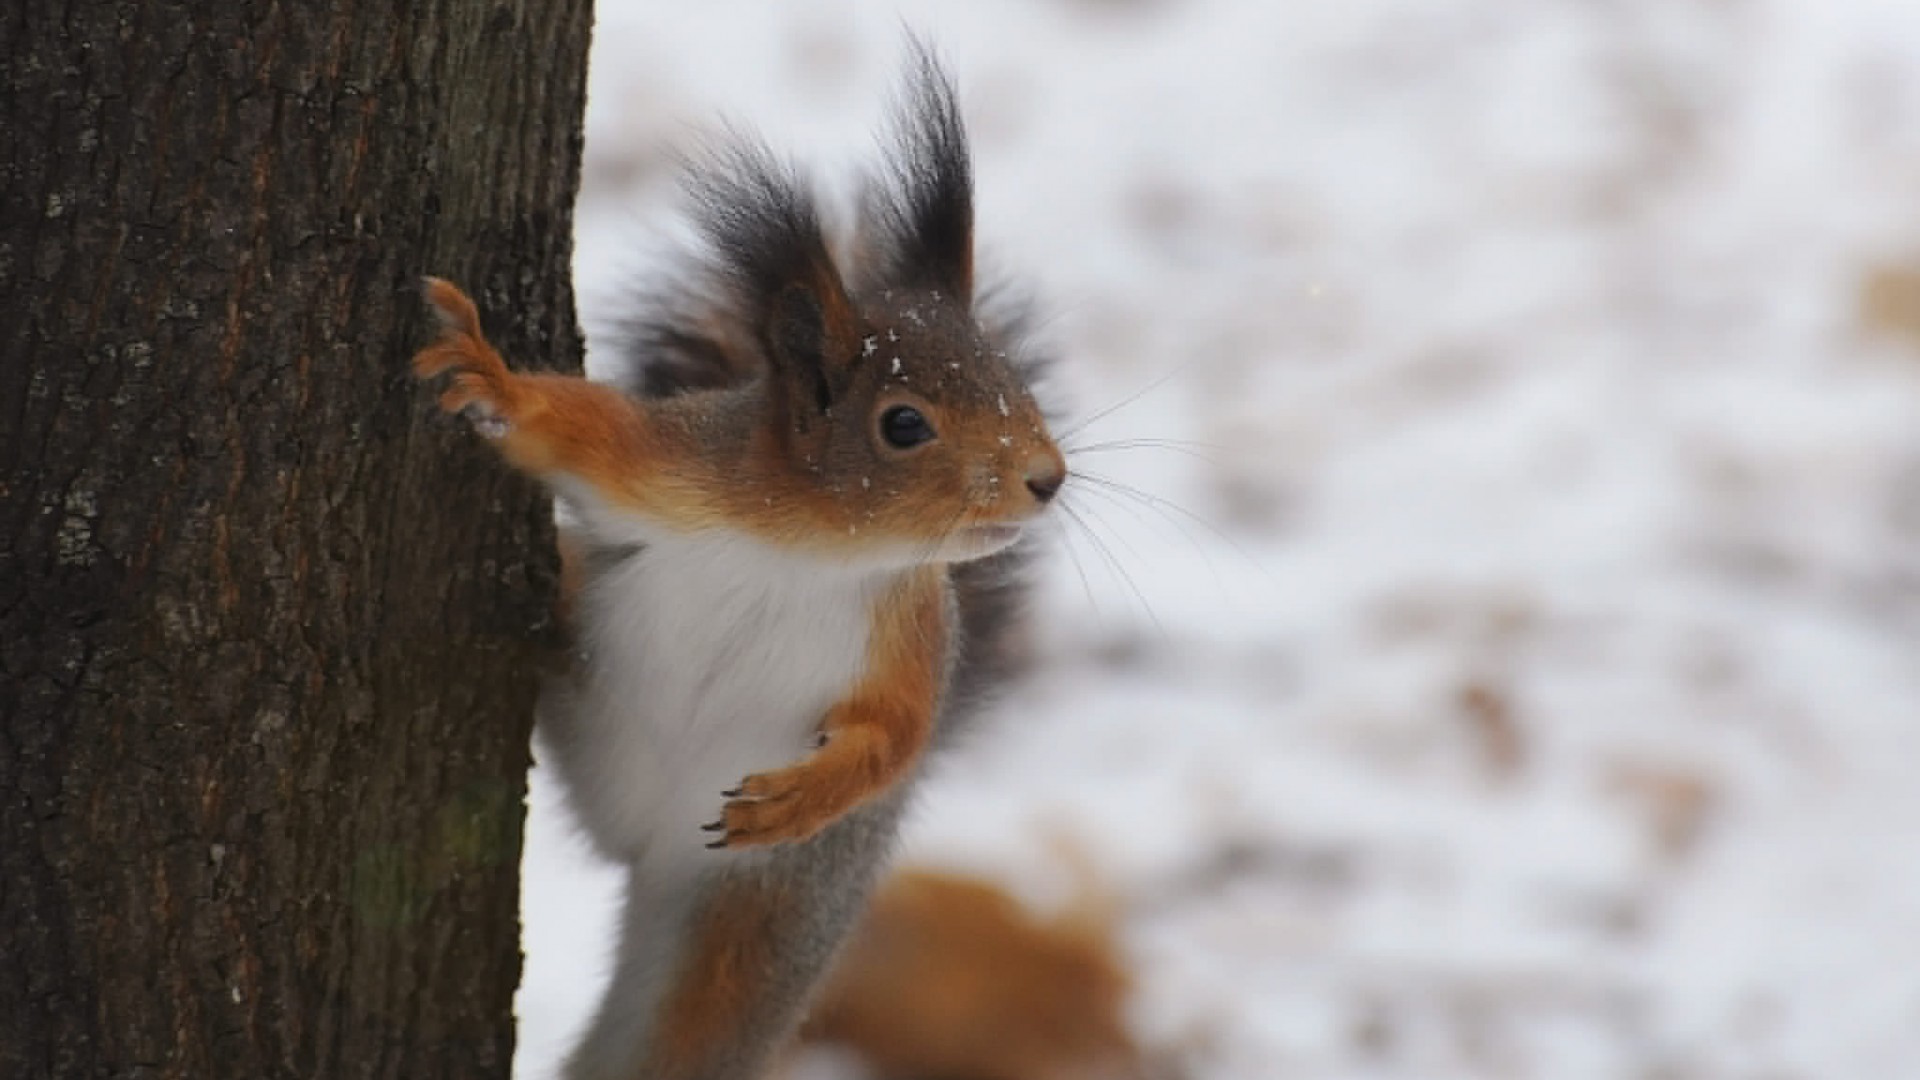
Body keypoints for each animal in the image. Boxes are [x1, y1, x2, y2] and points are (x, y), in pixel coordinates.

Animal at [412, 46, 1067, 1076]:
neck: (809, 547)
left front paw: (801, 797)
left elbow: (897, 732)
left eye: (1013, 382)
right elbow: (579, 435)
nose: (1047, 479)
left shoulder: (912, 629)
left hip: (762, 926)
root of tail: (640, 848)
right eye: (904, 425)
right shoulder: (674, 470)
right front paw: (491, 376)